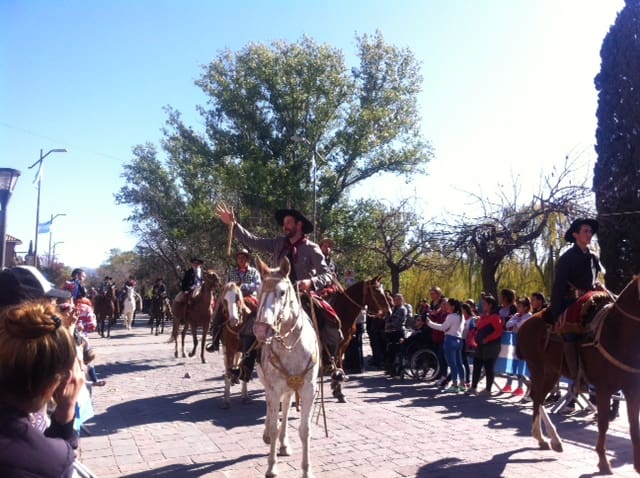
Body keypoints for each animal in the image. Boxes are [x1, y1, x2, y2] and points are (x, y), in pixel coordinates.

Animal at [252, 258, 318, 478]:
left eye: (282, 292)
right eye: (258, 291)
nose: (261, 330)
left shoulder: (308, 389)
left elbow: (305, 430)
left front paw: (307, 470)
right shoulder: (274, 388)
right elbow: (273, 426)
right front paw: (271, 467)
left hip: (290, 387)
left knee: (287, 406)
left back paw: (284, 444)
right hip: (268, 383)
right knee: (270, 407)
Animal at [516, 276, 636, 474]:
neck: (617, 333)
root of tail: (524, 324)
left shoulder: (631, 389)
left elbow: (634, 425)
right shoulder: (604, 389)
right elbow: (603, 423)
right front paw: (603, 463)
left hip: (552, 372)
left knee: (538, 397)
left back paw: (549, 440)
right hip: (538, 368)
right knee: (537, 398)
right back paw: (546, 438)